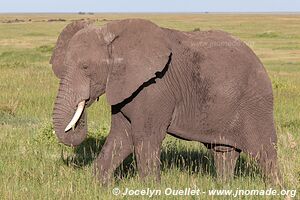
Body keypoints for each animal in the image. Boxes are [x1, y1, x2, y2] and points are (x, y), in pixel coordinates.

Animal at [49, 18, 282, 184]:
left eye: (86, 67)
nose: (86, 101)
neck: (113, 31)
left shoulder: (154, 88)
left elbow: (145, 137)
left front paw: (150, 189)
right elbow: (120, 137)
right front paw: (97, 186)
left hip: (255, 103)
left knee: (264, 151)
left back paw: (275, 189)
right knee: (224, 152)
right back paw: (223, 188)